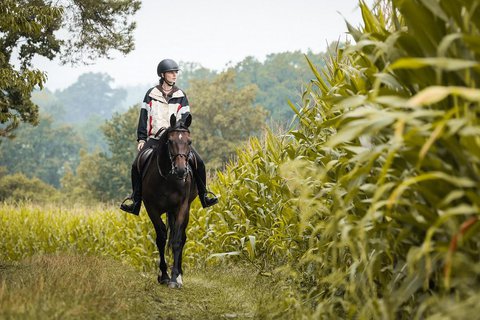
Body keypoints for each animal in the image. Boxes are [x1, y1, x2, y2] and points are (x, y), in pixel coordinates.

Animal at [142, 112, 198, 288]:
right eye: (170, 141)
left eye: (189, 141)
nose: (181, 170)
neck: (168, 178)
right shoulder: (151, 208)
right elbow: (161, 238)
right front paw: (164, 275)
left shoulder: (182, 207)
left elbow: (177, 240)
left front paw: (174, 278)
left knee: (182, 236)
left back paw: (179, 275)